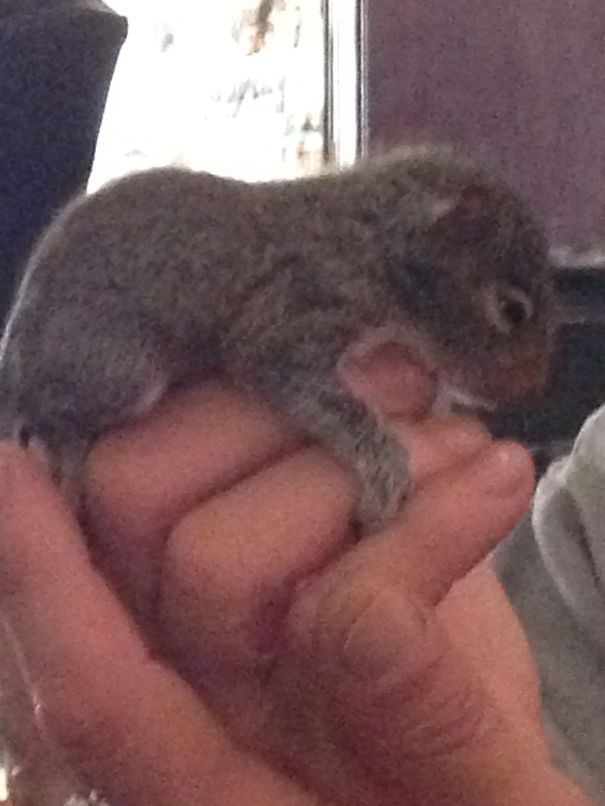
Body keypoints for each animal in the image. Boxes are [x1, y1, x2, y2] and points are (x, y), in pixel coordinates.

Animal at [0, 145, 554, 531]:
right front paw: (385, 465)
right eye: (513, 311)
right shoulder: (298, 311)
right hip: (116, 367)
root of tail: (14, 359)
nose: (527, 388)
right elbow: (297, 377)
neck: (375, 246)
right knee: (48, 410)